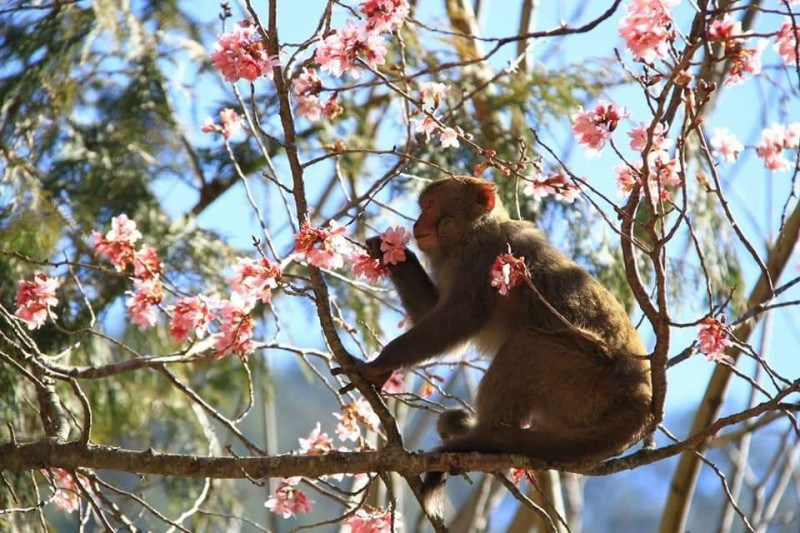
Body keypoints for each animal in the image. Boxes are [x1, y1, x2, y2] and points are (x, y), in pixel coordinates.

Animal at [334, 175, 652, 516]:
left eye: (431, 204)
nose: (418, 222)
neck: (470, 233)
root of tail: (642, 396)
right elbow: (429, 310)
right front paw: (393, 255)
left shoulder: (481, 257)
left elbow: (458, 319)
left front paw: (379, 364)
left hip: (586, 383)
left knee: (524, 344)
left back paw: (482, 434)